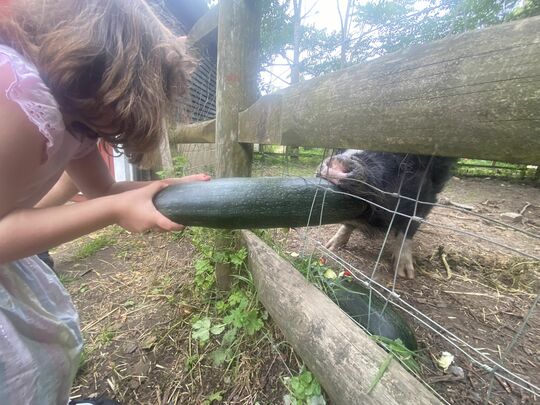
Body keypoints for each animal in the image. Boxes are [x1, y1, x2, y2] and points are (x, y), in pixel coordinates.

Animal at [316, 150, 456, 280]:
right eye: (339, 149)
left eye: (406, 163)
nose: (339, 161)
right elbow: (347, 224)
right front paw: (329, 247)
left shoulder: (426, 200)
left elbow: (407, 230)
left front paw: (405, 274)